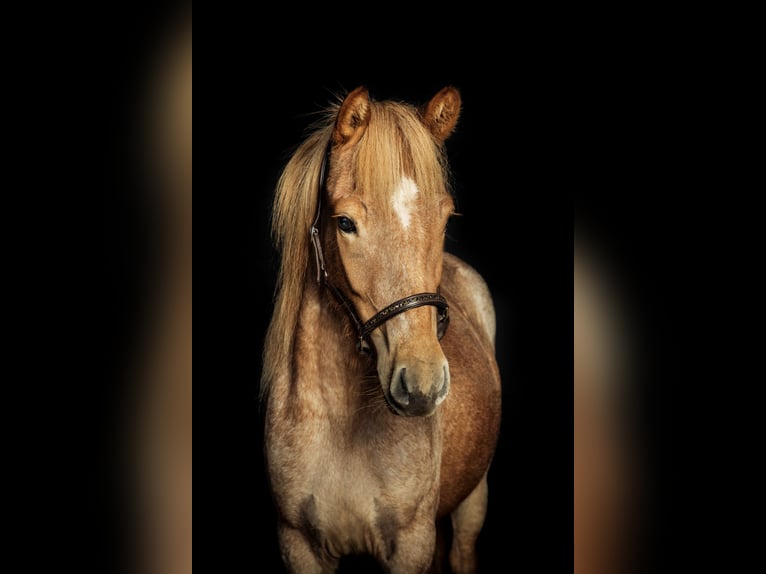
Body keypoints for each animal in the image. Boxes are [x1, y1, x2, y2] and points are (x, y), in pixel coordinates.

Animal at [264, 86, 504, 574]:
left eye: (445, 219)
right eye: (345, 223)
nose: (422, 384)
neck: (342, 428)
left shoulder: (410, 545)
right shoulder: (298, 545)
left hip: (474, 501)